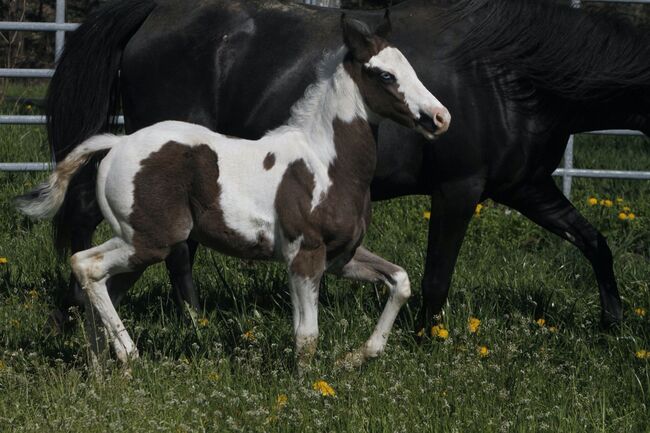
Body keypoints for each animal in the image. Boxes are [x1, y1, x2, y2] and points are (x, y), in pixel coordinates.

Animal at [16, 16, 450, 366]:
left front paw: (356, 357)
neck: (325, 162)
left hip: (136, 244)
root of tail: (116, 144)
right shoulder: (304, 254)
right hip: (149, 240)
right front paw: (307, 391)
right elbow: (307, 337)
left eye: (410, 68)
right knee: (85, 265)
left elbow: (400, 281)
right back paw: (128, 355)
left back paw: (101, 367)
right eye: (385, 76)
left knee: (101, 284)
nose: (440, 118)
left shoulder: (340, 257)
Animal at [46, 0, 648, 328]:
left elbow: (595, 242)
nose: (439, 117)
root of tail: (152, 13)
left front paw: (612, 323)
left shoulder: (528, 187)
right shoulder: (459, 189)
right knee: (126, 230)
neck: (508, 73)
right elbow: (436, 275)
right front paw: (429, 341)